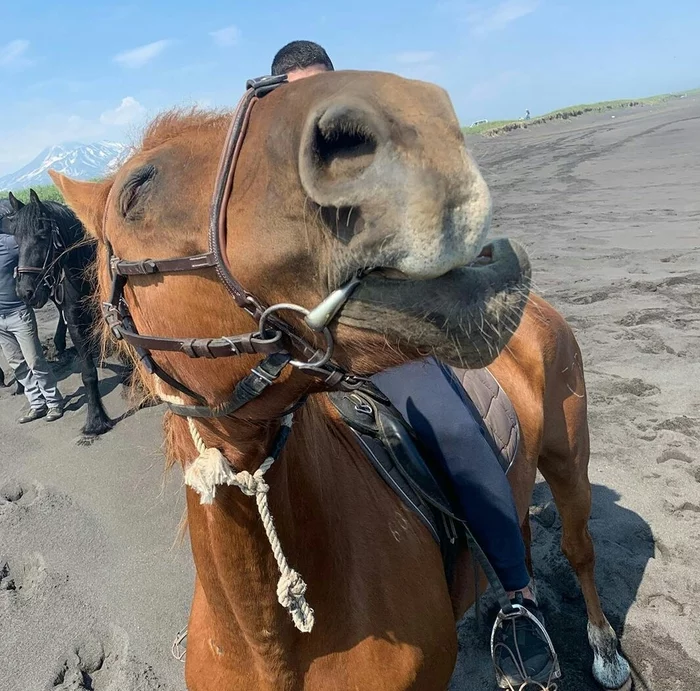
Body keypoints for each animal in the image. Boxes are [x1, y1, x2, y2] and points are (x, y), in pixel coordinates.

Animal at [2, 189, 113, 438]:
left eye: (42, 235)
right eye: (16, 239)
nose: (25, 292)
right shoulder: (74, 319)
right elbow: (88, 372)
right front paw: (95, 421)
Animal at [47, 71, 628, 691]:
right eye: (136, 192)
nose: (409, 117)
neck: (270, 642)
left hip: (569, 458)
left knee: (579, 547)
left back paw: (602, 648)